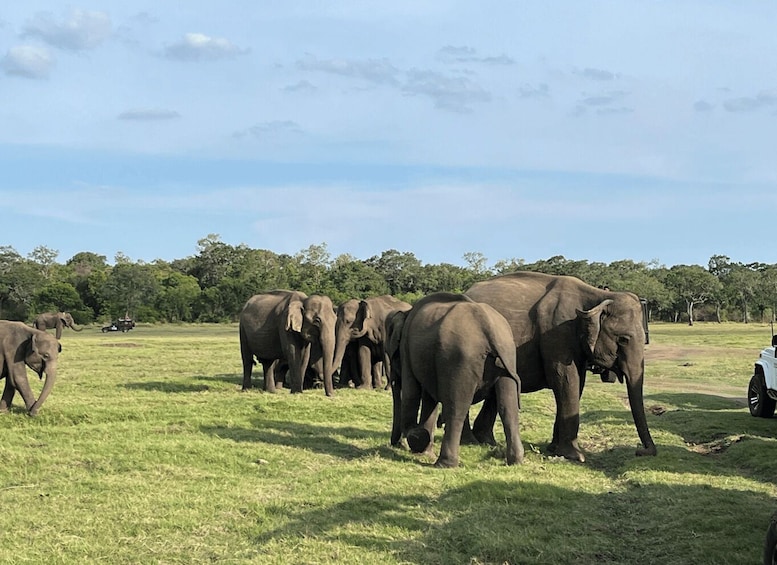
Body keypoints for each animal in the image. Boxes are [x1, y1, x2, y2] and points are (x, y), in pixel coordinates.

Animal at [385, 292, 524, 468]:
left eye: (391, 355)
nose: (396, 444)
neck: (406, 313)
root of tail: (487, 326)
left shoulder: (406, 350)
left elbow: (412, 393)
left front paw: (419, 439)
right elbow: (429, 399)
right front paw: (425, 450)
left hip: (458, 358)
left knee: (455, 408)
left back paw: (444, 464)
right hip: (508, 355)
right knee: (508, 406)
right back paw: (516, 461)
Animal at [465, 271, 656, 462]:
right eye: (623, 339)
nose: (641, 451)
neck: (597, 295)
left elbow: (577, 384)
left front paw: (554, 449)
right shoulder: (557, 333)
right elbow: (566, 380)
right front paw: (575, 456)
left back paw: (485, 441)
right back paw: (472, 441)